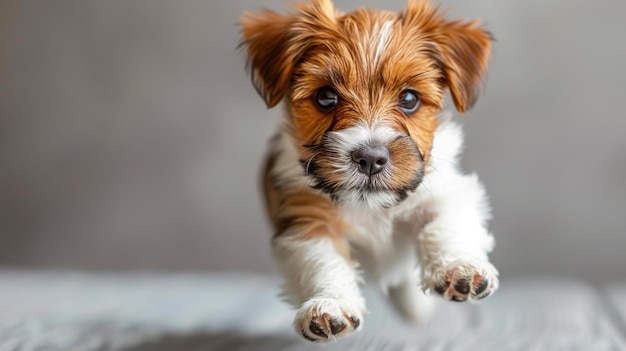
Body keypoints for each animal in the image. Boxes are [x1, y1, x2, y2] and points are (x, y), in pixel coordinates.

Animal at [239, 0, 498, 342]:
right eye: (326, 97)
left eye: (409, 99)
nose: (371, 158)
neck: (371, 207)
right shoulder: (307, 218)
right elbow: (323, 261)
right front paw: (330, 305)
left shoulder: (443, 193)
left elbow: (444, 225)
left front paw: (461, 268)